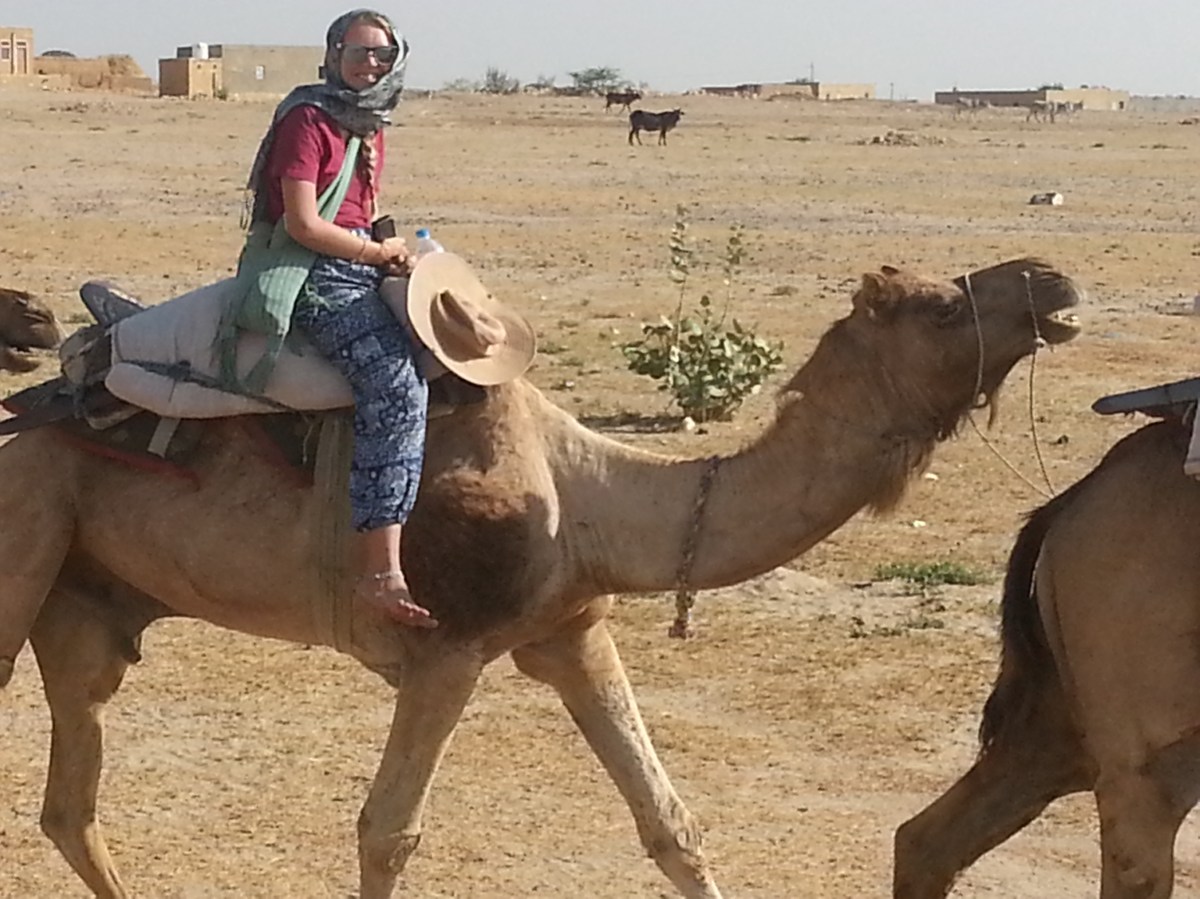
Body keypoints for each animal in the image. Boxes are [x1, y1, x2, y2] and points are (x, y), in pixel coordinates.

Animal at [0, 258, 1081, 899]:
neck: (587, 493)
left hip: (82, 603)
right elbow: (387, 830)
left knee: (72, 803)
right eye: (942, 306)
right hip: (25, 544)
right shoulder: (448, 644)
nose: (1051, 279)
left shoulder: (570, 629)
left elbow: (670, 820)